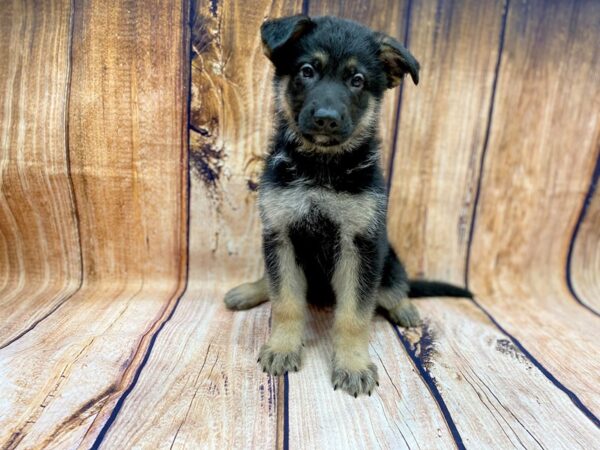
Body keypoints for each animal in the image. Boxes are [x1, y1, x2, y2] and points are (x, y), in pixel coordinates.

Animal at [223, 14, 472, 396]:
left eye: (357, 81)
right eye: (307, 71)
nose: (326, 118)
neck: (321, 167)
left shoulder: (360, 245)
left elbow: (354, 316)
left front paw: (352, 365)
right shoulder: (281, 237)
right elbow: (286, 302)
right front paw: (283, 347)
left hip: (387, 260)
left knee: (393, 287)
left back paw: (404, 307)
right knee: (272, 281)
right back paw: (250, 290)